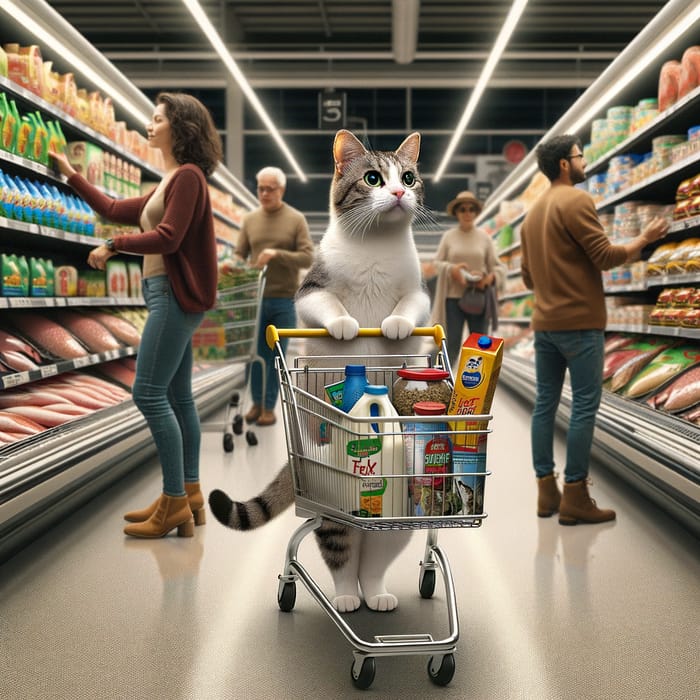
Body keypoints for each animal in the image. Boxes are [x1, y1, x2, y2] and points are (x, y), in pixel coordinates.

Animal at [208, 130, 432, 612]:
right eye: (373, 178)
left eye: (408, 177)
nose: (399, 193)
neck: (376, 245)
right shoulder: (309, 290)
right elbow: (329, 305)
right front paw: (347, 324)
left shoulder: (421, 292)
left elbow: (409, 307)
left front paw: (396, 325)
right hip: (330, 495)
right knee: (340, 550)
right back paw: (346, 597)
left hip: (402, 507)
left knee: (374, 556)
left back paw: (375, 594)